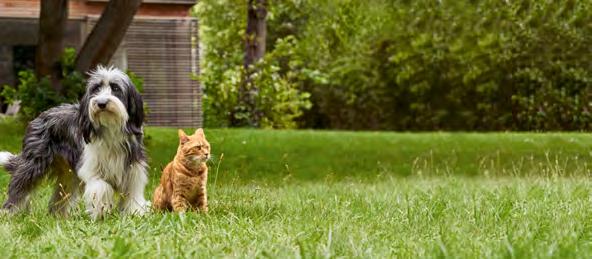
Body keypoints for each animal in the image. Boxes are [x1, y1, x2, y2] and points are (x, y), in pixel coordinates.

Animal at [0, 65, 150, 219]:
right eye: (96, 89)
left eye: (115, 88)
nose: (101, 103)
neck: (110, 129)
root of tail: (41, 115)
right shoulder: (92, 168)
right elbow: (101, 187)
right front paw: (100, 213)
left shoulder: (133, 170)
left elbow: (133, 195)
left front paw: (135, 213)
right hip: (33, 164)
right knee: (20, 186)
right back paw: (8, 212)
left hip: (68, 174)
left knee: (60, 196)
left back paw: (58, 216)